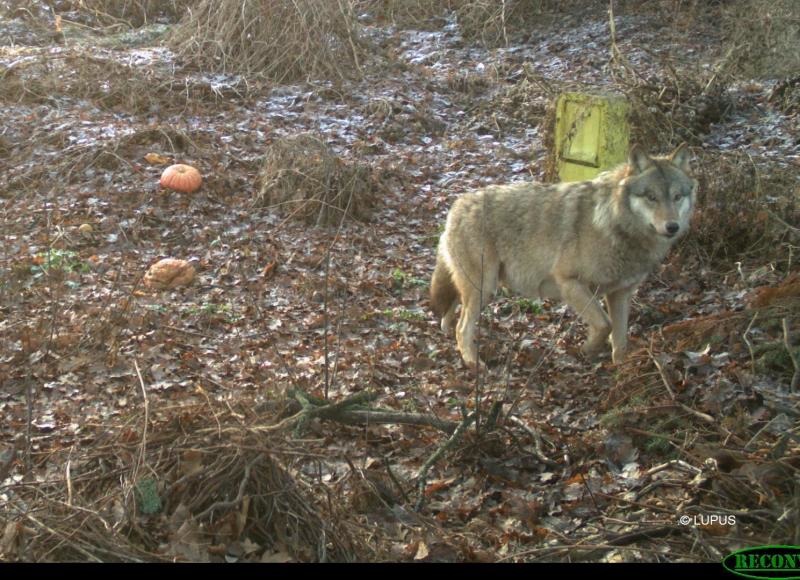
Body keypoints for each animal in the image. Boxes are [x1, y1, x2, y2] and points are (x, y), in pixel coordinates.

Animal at [428, 147, 696, 370]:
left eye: (677, 196)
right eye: (651, 197)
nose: (672, 226)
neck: (614, 224)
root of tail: (457, 205)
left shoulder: (620, 293)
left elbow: (620, 341)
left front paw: (621, 373)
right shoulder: (570, 282)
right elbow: (604, 325)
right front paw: (587, 349)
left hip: (478, 287)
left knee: (453, 310)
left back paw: (447, 331)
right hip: (485, 287)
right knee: (462, 328)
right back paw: (474, 364)